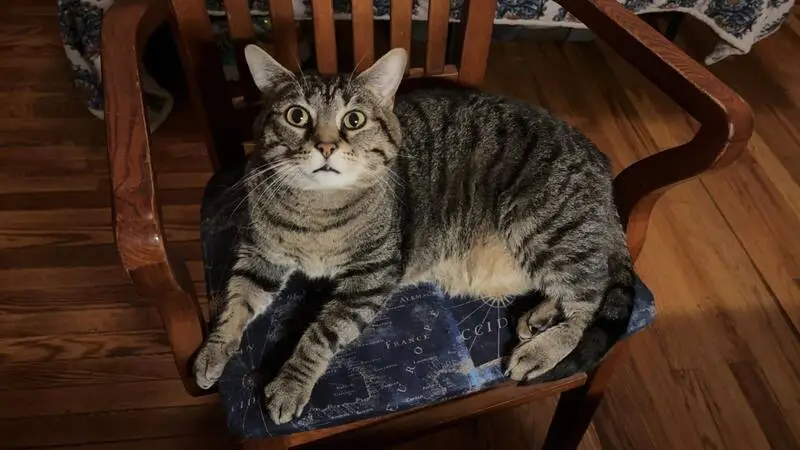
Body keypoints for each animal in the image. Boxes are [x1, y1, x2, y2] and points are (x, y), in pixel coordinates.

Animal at [193, 45, 634, 425]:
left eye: (354, 120)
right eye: (297, 116)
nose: (325, 146)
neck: (317, 210)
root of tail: (602, 168)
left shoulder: (372, 276)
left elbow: (320, 334)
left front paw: (289, 383)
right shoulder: (259, 255)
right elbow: (235, 302)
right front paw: (212, 352)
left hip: (543, 228)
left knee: (591, 298)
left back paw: (541, 350)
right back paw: (539, 315)